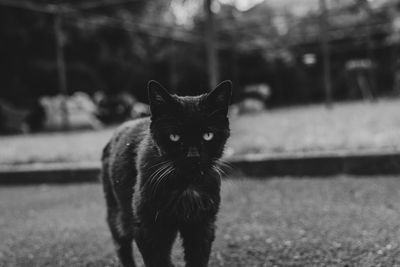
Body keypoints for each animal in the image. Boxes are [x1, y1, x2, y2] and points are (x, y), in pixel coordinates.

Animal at [100, 80, 231, 266]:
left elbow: (198, 258)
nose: (193, 156)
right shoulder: (147, 227)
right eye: (174, 136)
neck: (186, 186)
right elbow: (158, 260)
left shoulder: (203, 225)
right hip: (118, 216)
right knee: (122, 247)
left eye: (208, 135)